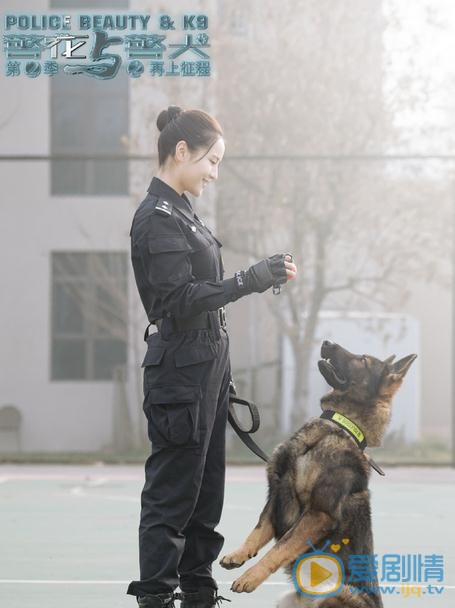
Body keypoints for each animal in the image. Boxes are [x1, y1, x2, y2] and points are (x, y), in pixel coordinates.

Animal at [220, 340, 416, 604]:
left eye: (363, 360)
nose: (327, 343)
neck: (337, 426)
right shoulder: (277, 494)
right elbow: (258, 529)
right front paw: (238, 554)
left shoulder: (318, 514)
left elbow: (280, 547)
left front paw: (251, 576)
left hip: (337, 590)